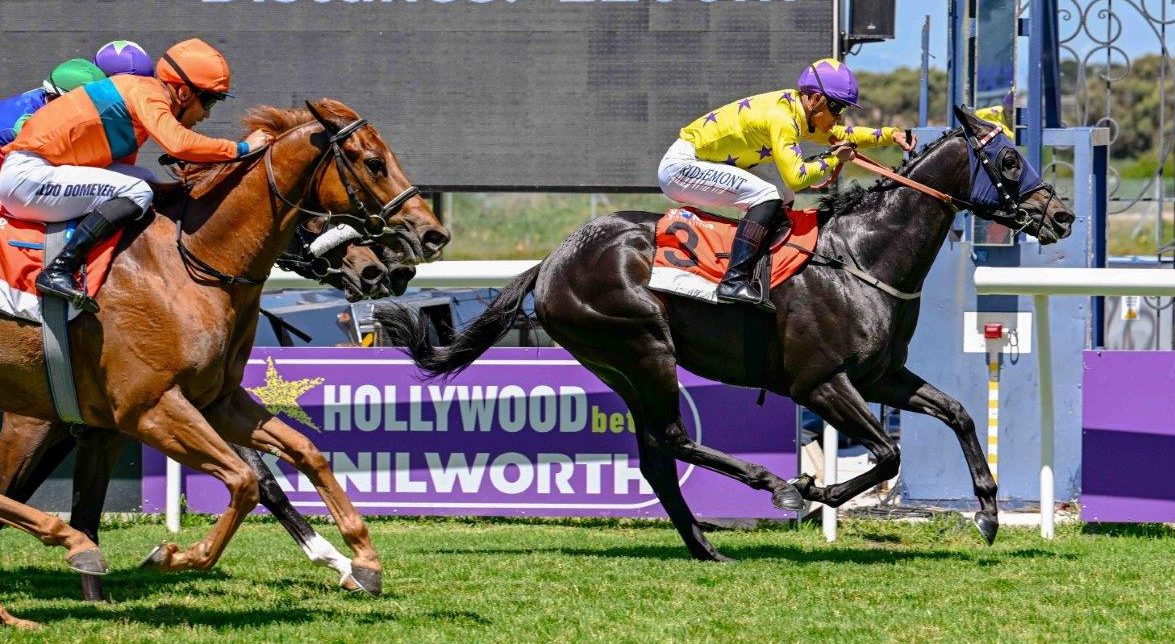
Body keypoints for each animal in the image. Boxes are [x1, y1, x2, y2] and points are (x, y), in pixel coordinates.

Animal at [0, 96, 446, 599]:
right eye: (373, 163)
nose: (431, 235)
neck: (187, 264)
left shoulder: (215, 401)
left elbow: (303, 453)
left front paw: (361, 562)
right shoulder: (149, 408)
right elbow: (248, 480)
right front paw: (172, 555)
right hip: (27, 425)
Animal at [376, 108, 1076, 561]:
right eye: (1008, 158)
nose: (1062, 215)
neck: (862, 256)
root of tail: (550, 261)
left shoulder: (881, 376)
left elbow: (958, 412)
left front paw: (987, 512)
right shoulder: (820, 383)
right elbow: (887, 455)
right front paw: (813, 489)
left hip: (621, 366)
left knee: (657, 456)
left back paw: (705, 545)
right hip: (644, 346)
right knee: (673, 438)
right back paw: (769, 486)